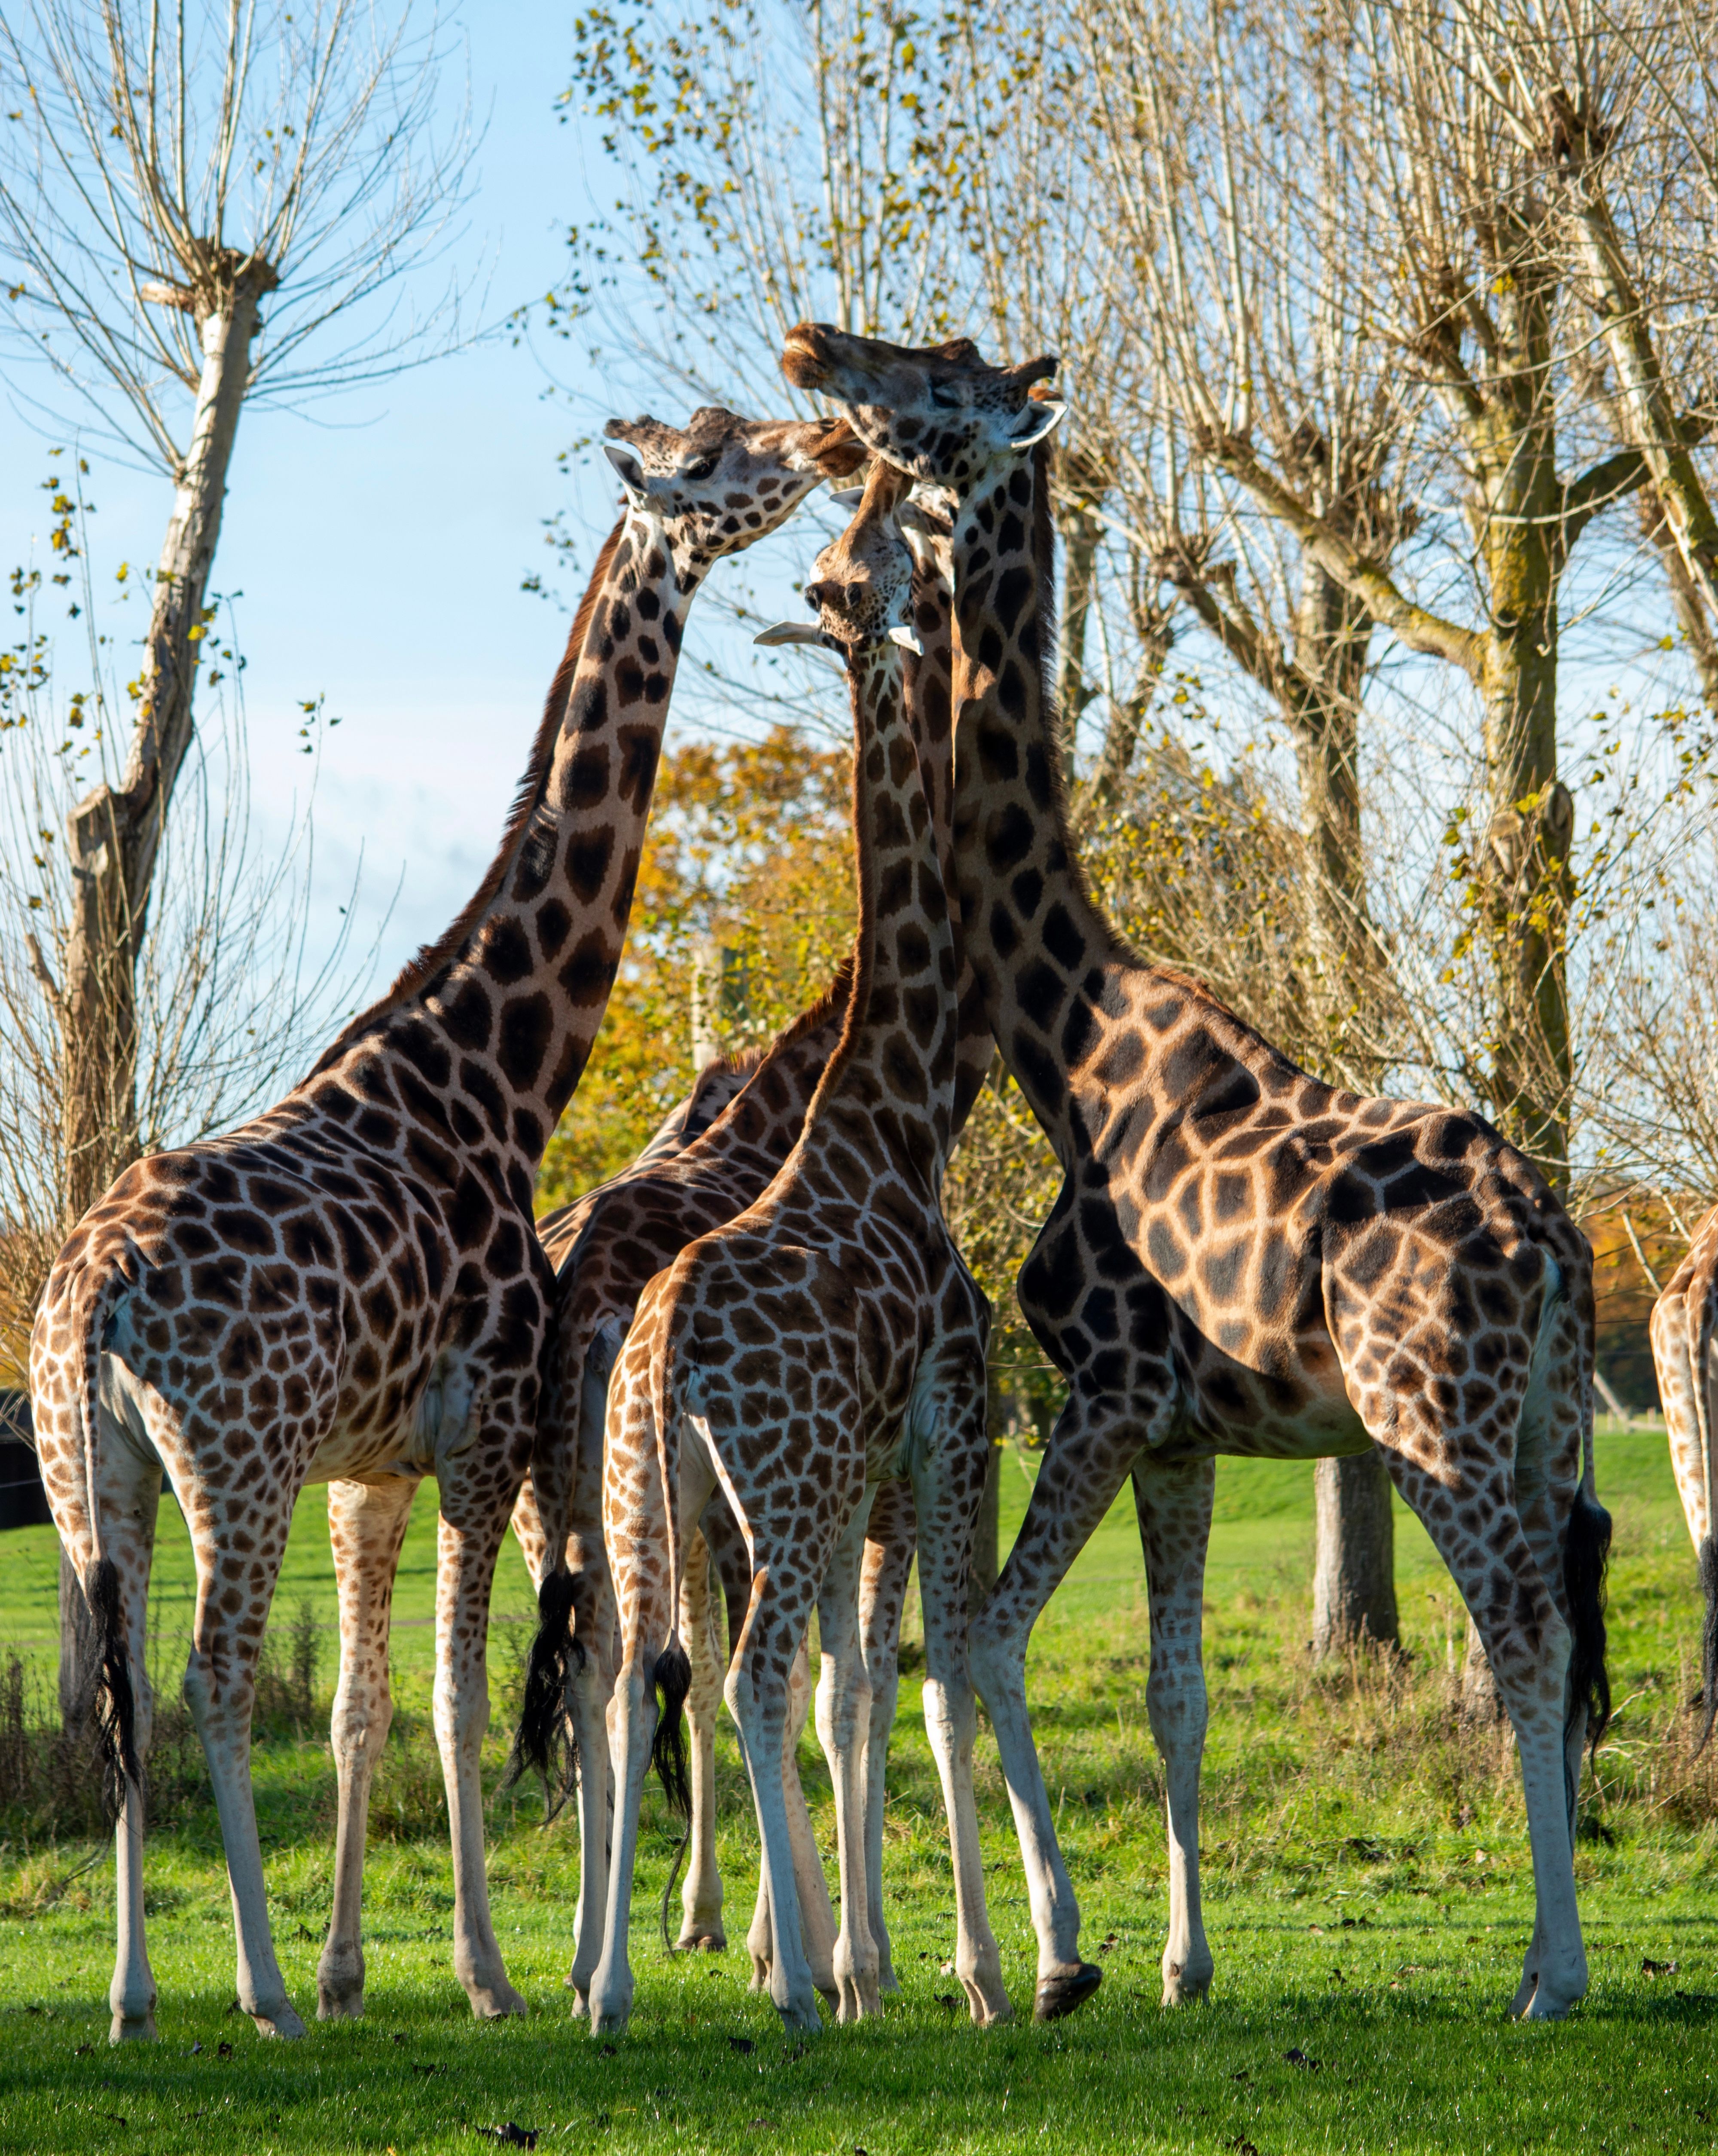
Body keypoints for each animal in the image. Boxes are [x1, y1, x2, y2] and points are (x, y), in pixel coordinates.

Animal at [28, 402, 861, 2045]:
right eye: (721, 456)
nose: (825, 438)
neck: (493, 1078)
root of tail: (88, 1296)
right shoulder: (473, 1437)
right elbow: (457, 1696)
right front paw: (479, 1969)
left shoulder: (370, 1469)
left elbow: (361, 1704)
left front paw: (356, 1965)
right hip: (236, 1457)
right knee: (214, 1677)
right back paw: (256, 1988)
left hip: (89, 1469)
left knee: (120, 1681)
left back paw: (137, 1994)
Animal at [510, 501, 977, 2011]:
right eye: (872, 568)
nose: (927, 544)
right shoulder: (912, 1443)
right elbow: (879, 1683)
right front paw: (868, 1953)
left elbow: (826, 1689)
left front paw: (818, 1937)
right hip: (746, 1489)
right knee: (714, 1672)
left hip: (584, 1495)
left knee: (599, 1674)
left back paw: (598, 1973)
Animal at [782, 321, 1614, 2025]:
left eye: (934, 391)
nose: (813, 345)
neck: (1066, 1043)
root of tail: (1556, 1248)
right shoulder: (1183, 1435)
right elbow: (1173, 1697)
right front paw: (1174, 1960)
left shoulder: (1101, 1390)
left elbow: (984, 1646)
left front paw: (1050, 1959)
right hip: (1541, 1422)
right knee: (1560, 1628)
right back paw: (1535, 1949)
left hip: (1426, 1417)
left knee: (1520, 1633)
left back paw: (1551, 1977)